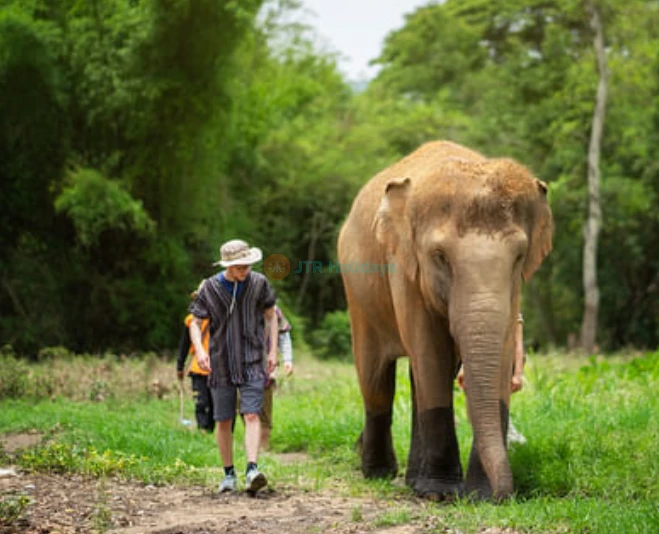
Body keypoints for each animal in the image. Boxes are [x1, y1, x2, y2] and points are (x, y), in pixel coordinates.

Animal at [337, 140, 553, 501]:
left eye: (520, 257)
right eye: (440, 257)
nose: (505, 495)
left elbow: (501, 350)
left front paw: (478, 495)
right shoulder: (404, 267)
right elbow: (431, 352)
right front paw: (441, 494)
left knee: (414, 379)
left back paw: (412, 480)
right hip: (357, 294)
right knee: (376, 379)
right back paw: (379, 474)